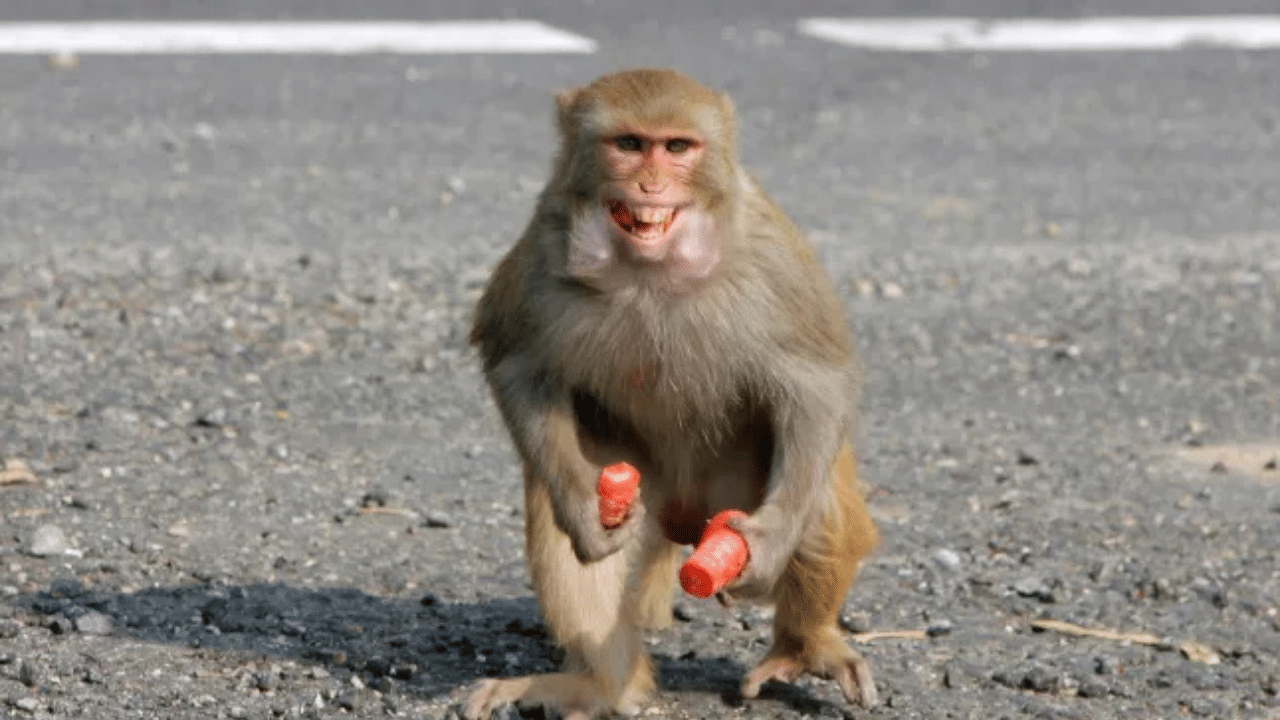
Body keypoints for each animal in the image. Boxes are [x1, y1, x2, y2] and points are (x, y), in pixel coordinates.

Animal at [465, 68, 879, 720]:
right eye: (630, 144)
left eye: (678, 147)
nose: (650, 182)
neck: (651, 267)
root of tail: (687, 521)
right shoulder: (543, 243)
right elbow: (518, 361)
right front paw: (584, 511)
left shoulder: (771, 252)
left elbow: (818, 380)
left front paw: (770, 547)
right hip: (645, 492)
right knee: (568, 510)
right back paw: (604, 688)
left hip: (735, 498)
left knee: (814, 496)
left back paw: (806, 645)